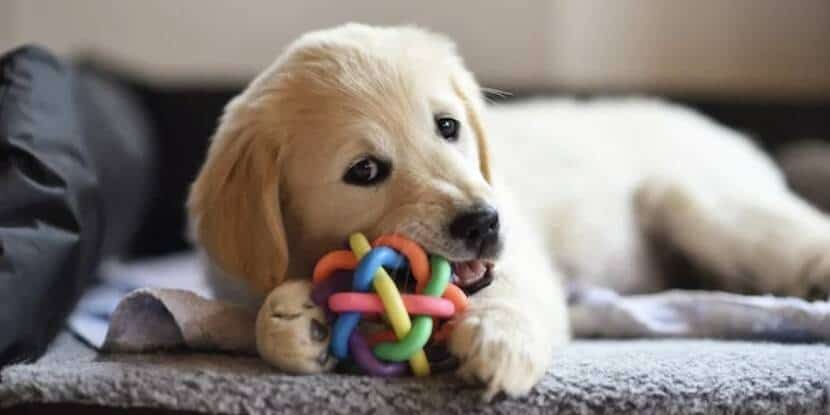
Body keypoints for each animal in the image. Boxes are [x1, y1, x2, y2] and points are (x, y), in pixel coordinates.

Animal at [192, 23, 830, 400]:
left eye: (448, 126)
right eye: (365, 171)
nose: (483, 222)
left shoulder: (523, 260)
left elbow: (512, 293)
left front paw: (500, 341)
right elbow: (257, 314)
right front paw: (295, 320)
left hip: (698, 203)